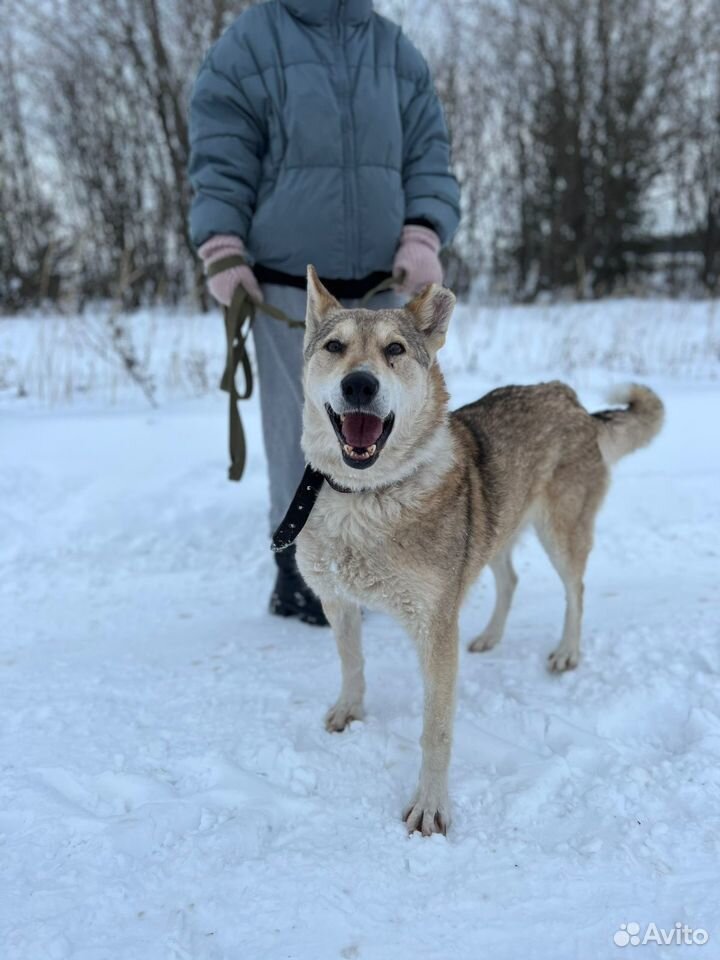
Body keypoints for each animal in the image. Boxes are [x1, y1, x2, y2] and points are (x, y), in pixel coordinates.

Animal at [292, 266, 664, 836]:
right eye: (335, 347)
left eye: (395, 349)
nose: (360, 384)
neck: (367, 499)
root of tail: (568, 396)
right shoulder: (339, 603)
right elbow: (352, 664)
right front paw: (348, 712)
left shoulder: (435, 628)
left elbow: (436, 731)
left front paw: (430, 808)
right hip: (496, 535)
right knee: (510, 580)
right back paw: (490, 637)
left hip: (560, 535)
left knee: (575, 590)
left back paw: (566, 652)